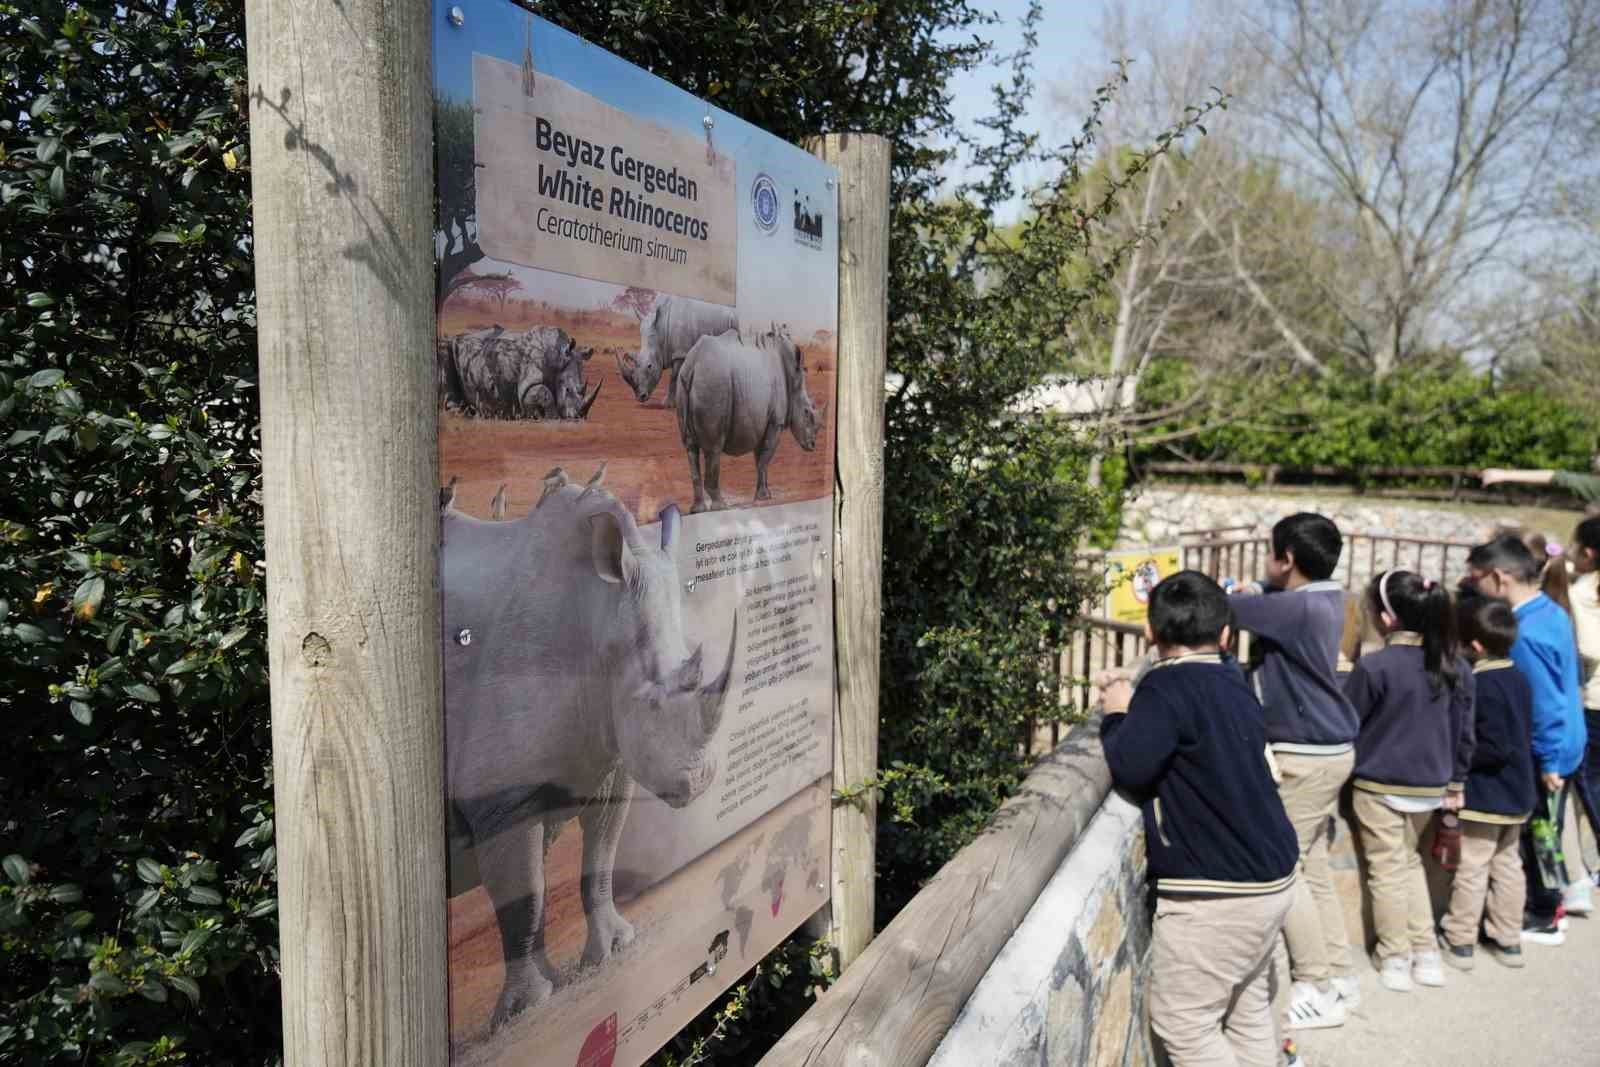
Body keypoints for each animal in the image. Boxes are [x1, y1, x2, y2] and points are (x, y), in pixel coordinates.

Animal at [440, 325, 601, 419]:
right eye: (567, 390)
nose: (578, 418)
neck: (559, 358)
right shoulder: (527, 381)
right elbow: (544, 393)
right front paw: (552, 418)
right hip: (450, 345)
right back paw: (460, 413)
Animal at [442, 468, 736, 1030]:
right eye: (647, 702)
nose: (700, 781)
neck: (597, 615)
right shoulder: (500, 797)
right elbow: (525, 896)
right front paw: (527, 1007)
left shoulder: (606, 764)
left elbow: (597, 861)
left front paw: (612, 951)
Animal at [674, 326, 825, 512]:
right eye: (806, 412)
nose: (812, 445)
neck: (793, 377)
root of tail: (693, 363)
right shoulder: (775, 422)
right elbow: (765, 458)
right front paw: (762, 497)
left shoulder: (761, 421)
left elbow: (759, 458)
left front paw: (766, 495)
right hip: (715, 381)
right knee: (714, 448)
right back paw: (721, 506)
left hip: (683, 383)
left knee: (691, 447)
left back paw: (698, 509)